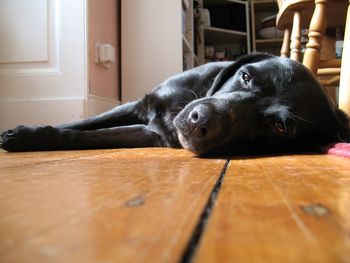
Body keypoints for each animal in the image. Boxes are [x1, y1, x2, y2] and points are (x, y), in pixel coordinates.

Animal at [1, 54, 348, 156]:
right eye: (246, 76)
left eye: (279, 126)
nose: (198, 120)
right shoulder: (140, 104)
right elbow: (79, 125)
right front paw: (26, 133)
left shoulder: (150, 134)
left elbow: (90, 136)